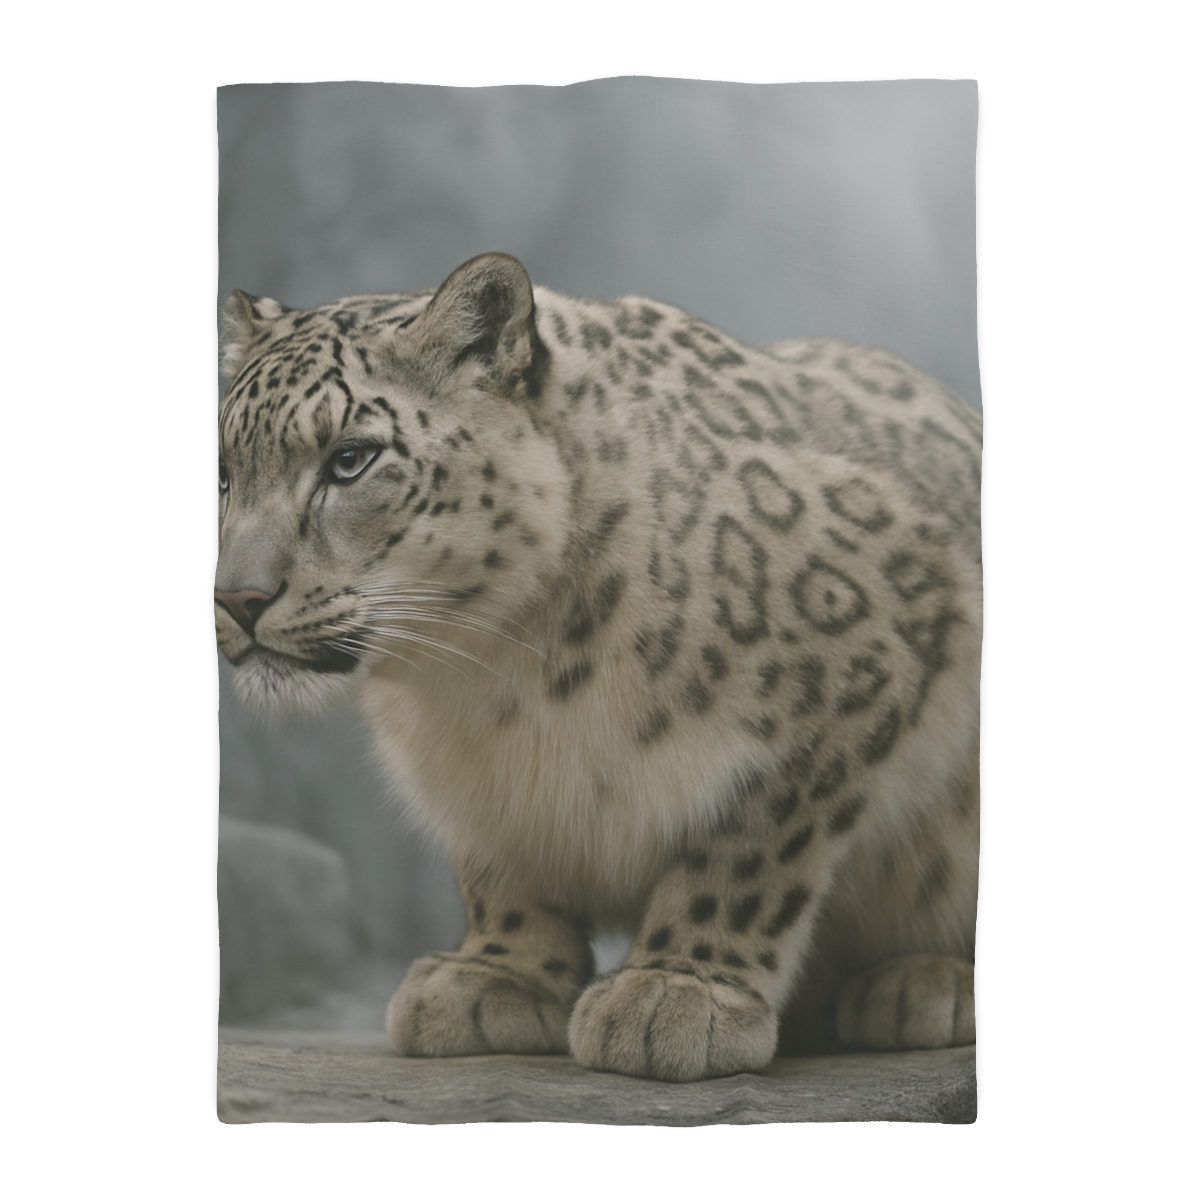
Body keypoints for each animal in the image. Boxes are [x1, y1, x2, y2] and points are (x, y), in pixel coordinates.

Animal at [216, 251, 981, 1082]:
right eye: (222, 473)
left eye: (350, 459)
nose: (236, 598)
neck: (498, 674)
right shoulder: (482, 776)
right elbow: (501, 863)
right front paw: (496, 975)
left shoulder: (853, 672)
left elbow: (748, 852)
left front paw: (676, 990)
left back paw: (927, 982)